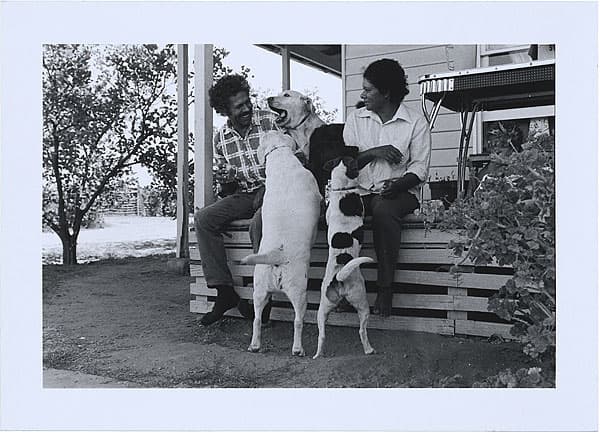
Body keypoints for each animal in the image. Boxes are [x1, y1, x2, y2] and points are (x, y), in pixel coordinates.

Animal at [240, 131, 324, 354]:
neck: (280, 160)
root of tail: (276, 256)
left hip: (259, 290)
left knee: (257, 319)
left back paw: (255, 345)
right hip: (299, 291)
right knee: (298, 321)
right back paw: (297, 349)